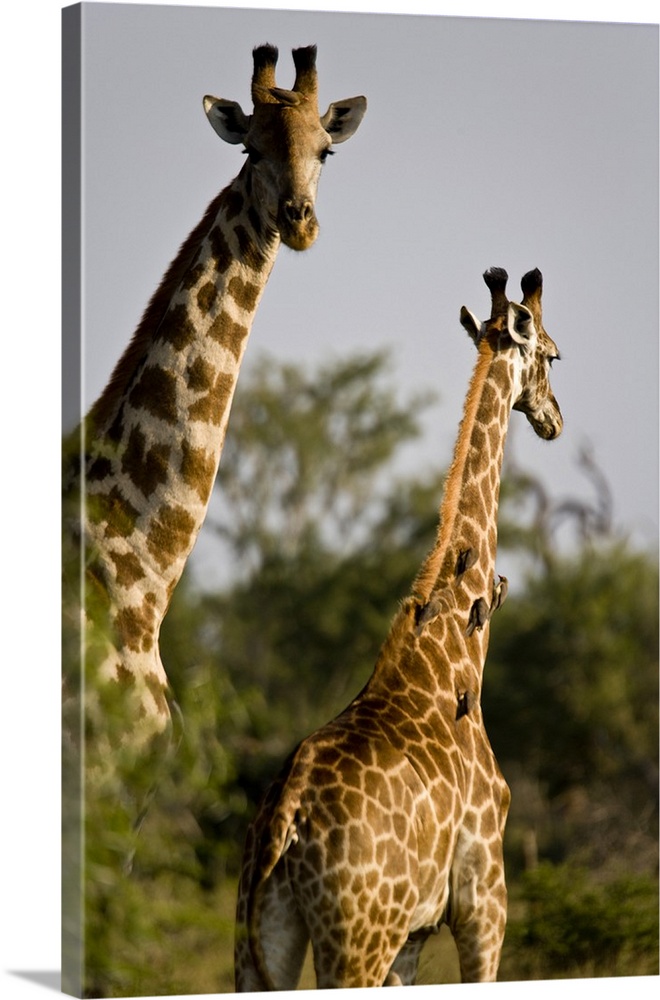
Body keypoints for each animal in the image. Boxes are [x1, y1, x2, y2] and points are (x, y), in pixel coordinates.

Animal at [232, 266, 564, 992]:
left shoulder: (412, 936)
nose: (555, 418)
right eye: (555, 355)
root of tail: (283, 822)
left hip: (259, 941)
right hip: (356, 938)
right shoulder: (485, 896)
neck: (456, 655)